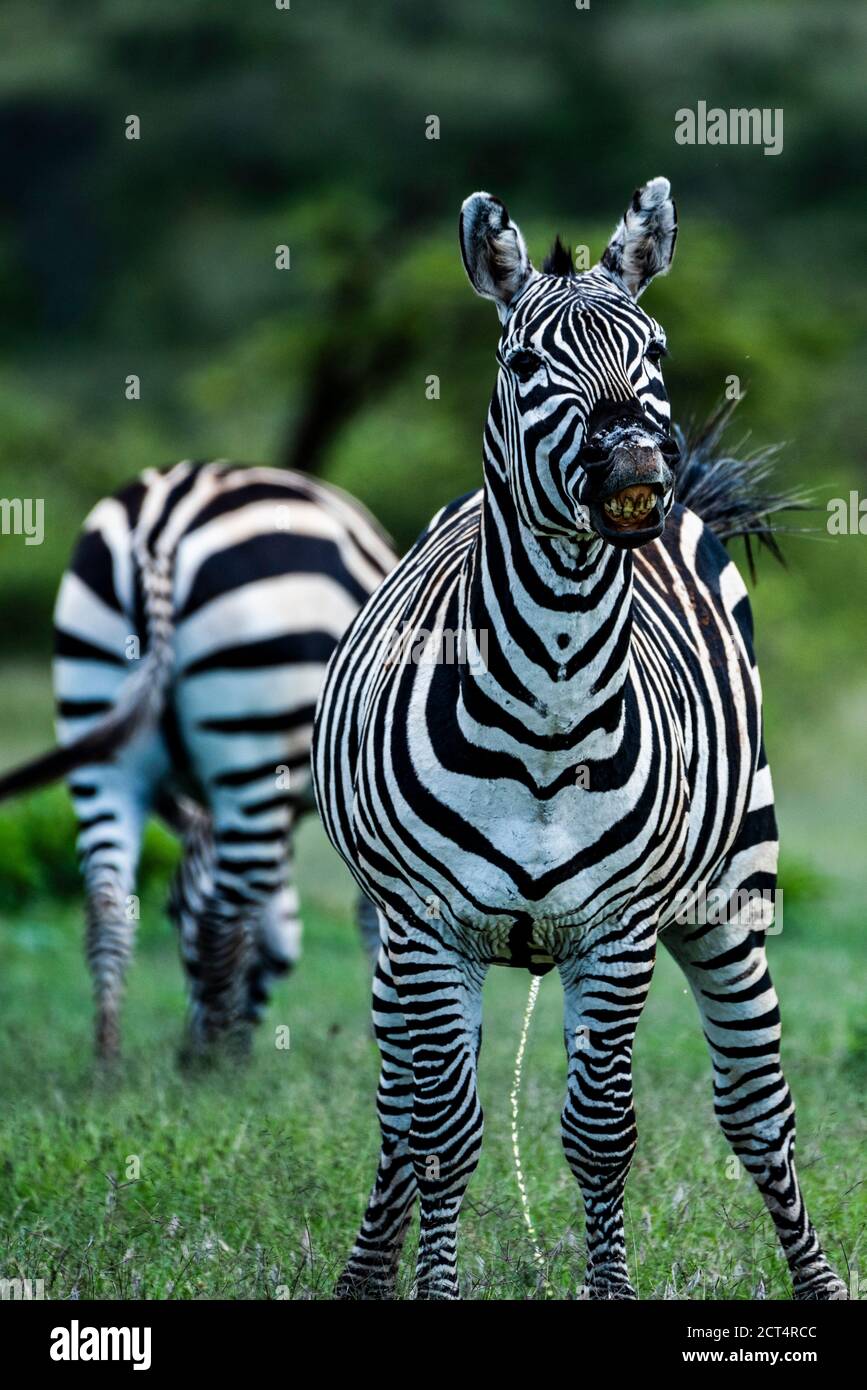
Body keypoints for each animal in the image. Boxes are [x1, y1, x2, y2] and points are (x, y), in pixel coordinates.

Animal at [0, 462, 395, 1062]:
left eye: (167, 911)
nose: (184, 1055)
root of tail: (160, 527)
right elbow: (372, 917)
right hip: (251, 746)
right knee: (218, 921)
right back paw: (215, 1068)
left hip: (97, 736)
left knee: (106, 906)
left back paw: (110, 1064)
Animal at [312, 178, 847, 1300]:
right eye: (522, 363)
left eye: (656, 349)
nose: (638, 461)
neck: (550, 711)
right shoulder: (427, 929)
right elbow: (441, 1138)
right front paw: (429, 1290)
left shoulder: (620, 931)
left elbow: (602, 1135)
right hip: (393, 946)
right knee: (395, 1122)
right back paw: (363, 1275)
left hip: (735, 899)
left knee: (759, 1113)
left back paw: (817, 1279)